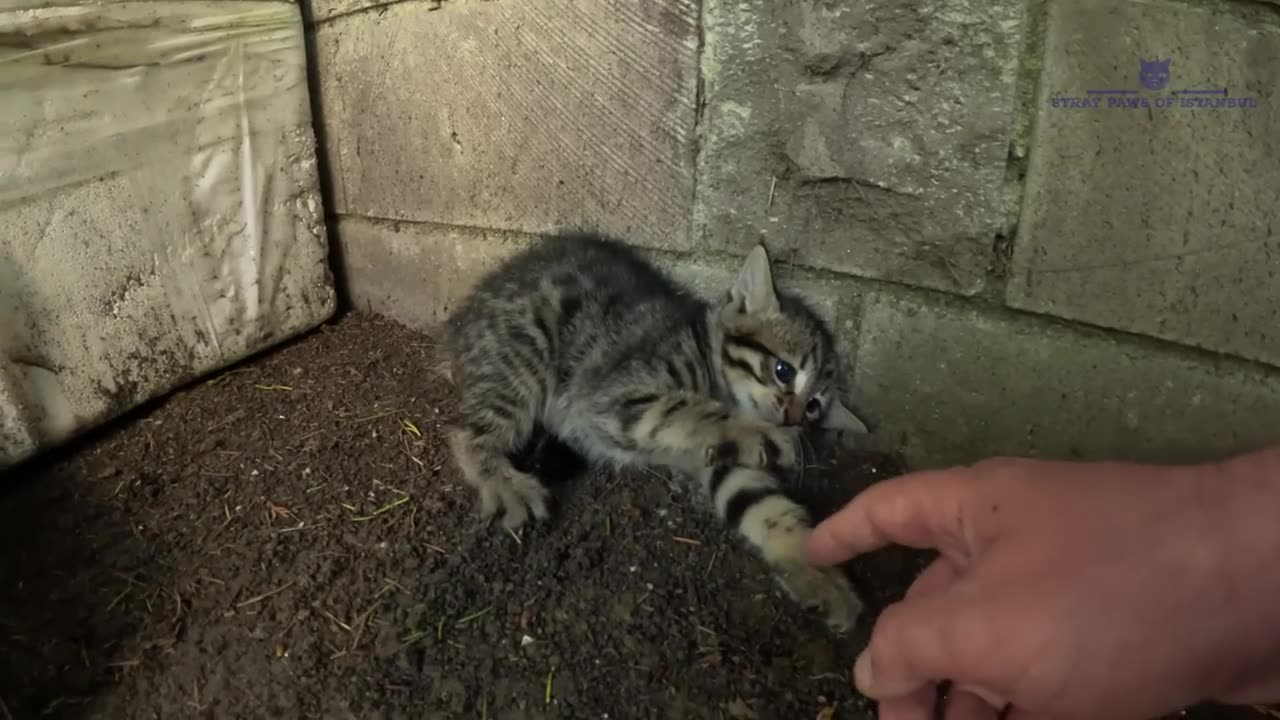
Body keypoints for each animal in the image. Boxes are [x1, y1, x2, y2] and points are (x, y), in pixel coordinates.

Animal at [440, 230, 870, 627]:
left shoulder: (723, 462)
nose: (792, 420)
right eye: (784, 371)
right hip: (523, 355)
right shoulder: (612, 396)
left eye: (814, 407)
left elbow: (765, 505)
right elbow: (685, 409)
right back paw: (505, 483)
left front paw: (817, 570)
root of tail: (465, 317)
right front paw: (762, 432)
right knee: (465, 433)